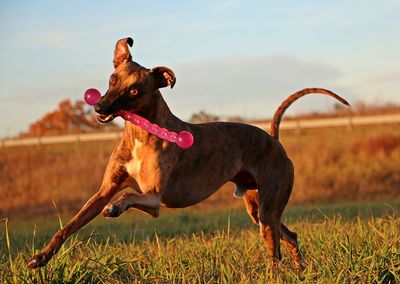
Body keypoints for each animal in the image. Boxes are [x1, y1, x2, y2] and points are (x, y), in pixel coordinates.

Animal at [28, 36, 348, 270]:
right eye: (111, 79)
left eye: (135, 91)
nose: (99, 107)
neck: (141, 134)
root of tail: (273, 139)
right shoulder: (103, 190)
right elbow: (69, 225)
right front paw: (41, 257)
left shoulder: (154, 199)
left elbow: (128, 195)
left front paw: (116, 207)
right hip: (259, 209)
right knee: (290, 236)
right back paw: (301, 269)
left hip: (268, 210)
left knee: (276, 253)